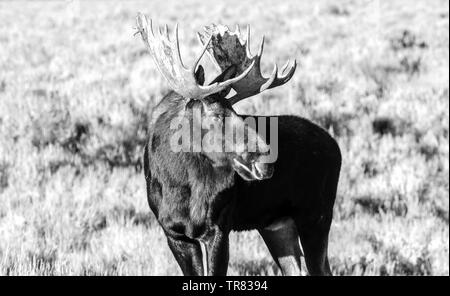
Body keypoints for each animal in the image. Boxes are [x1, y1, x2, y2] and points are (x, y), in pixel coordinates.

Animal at [136, 11, 342, 276]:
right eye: (216, 115)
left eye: (236, 111)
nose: (266, 159)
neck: (179, 182)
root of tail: (336, 147)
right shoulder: (174, 233)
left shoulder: (218, 228)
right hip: (277, 225)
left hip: (316, 216)